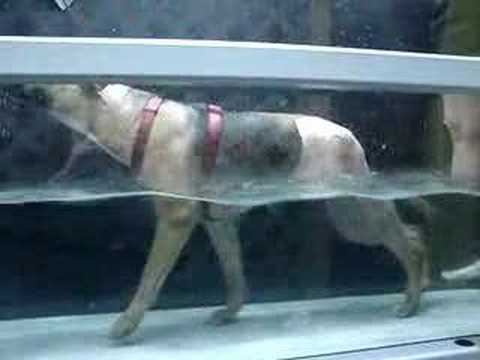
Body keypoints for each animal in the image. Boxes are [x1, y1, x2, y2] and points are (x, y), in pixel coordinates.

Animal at [28, 83, 430, 338]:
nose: (24, 91)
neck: (139, 118)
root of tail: (350, 137)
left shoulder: (175, 221)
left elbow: (148, 280)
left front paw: (127, 324)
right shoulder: (219, 224)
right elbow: (233, 273)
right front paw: (231, 312)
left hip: (356, 215)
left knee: (409, 241)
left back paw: (411, 299)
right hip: (349, 212)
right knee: (413, 235)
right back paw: (422, 286)